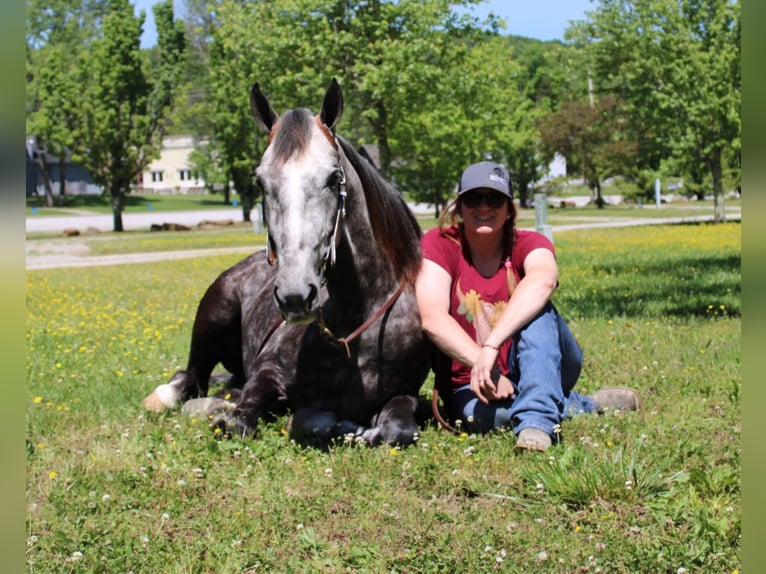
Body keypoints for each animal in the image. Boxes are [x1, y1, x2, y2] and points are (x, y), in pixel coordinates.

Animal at [144, 79, 432, 448]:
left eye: (334, 178)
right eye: (260, 181)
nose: (295, 296)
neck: (355, 327)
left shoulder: (405, 392)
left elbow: (398, 429)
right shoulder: (266, 372)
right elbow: (241, 419)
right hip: (212, 318)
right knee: (192, 377)